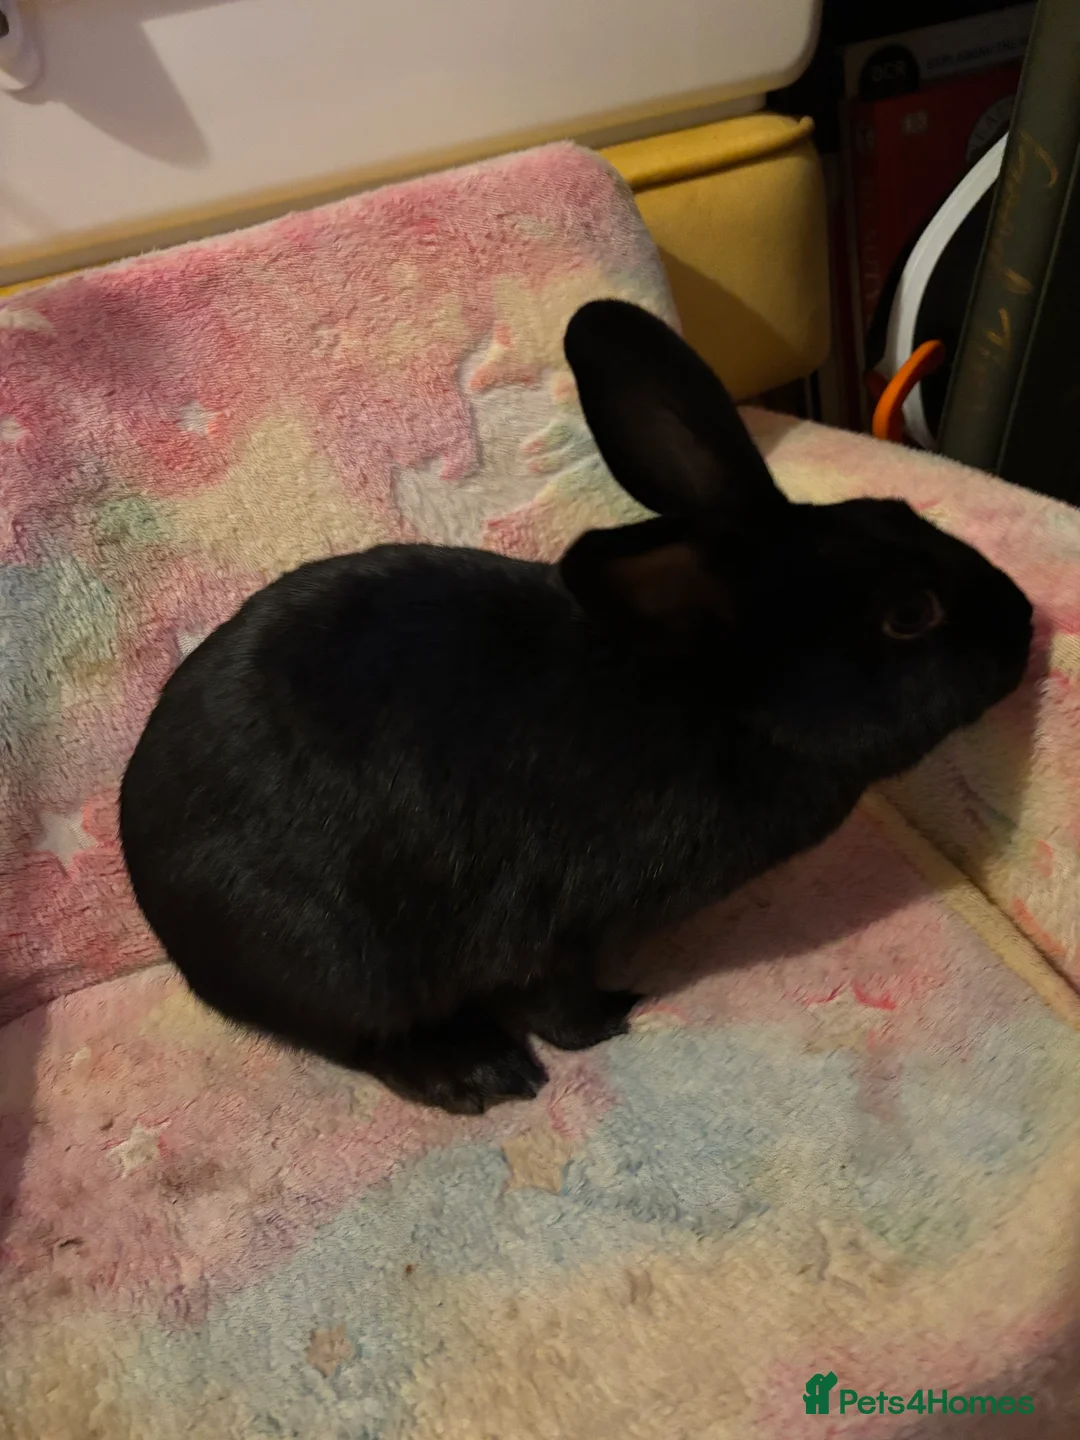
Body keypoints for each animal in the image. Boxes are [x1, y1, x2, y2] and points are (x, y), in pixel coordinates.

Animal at [119, 299, 1033, 1113]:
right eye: (911, 615)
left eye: (901, 511)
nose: (1025, 617)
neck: (716, 704)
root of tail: (165, 917)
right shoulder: (548, 928)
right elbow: (556, 1008)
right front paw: (620, 1014)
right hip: (332, 958)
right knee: (369, 1040)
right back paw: (478, 1074)